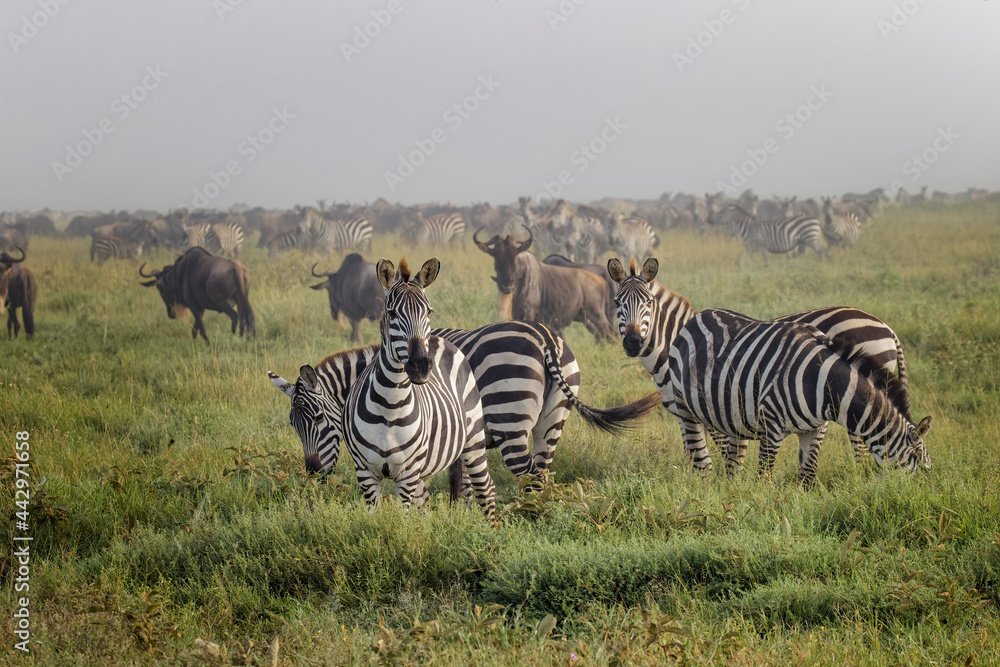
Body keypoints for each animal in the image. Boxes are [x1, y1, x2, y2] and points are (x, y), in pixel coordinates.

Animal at [270, 320, 660, 484]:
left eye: (319, 419)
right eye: (293, 426)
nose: (312, 471)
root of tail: (545, 339)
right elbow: (463, 481)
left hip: (509, 415)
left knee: (529, 474)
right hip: (554, 416)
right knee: (544, 471)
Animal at [347, 257, 495, 518]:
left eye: (428, 311)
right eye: (392, 312)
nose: (421, 367)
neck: (390, 406)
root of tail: (440, 338)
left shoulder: (407, 475)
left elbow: (401, 519)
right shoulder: (365, 472)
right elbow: (375, 518)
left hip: (474, 440)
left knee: (486, 488)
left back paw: (493, 527)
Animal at [607, 256, 911, 469]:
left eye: (649, 303)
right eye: (617, 303)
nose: (633, 342)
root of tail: (887, 327)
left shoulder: (711, 411)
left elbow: (725, 457)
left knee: (863, 446)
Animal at [665, 308, 932, 484]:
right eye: (918, 458)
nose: (922, 496)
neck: (823, 384)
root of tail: (697, 316)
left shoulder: (815, 429)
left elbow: (808, 476)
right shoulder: (771, 426)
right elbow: (765, 478)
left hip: (727, 412)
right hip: (686, 408)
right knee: (701, 460)